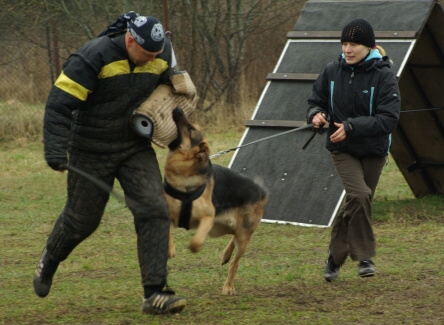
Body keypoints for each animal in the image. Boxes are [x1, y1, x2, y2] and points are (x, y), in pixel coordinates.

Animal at [163, 107, 268, 294]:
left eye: (190, 129)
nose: (178, 109)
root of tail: (261, 191)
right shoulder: (165, 211)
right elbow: (168, 232)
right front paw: (170, 249)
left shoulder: (207, 217)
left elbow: (196, 241)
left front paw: (194, 247)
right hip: (222, 228)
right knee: (233, 238)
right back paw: (225, 255)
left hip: (240, 235)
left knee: (235, 261)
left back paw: (229, 286)